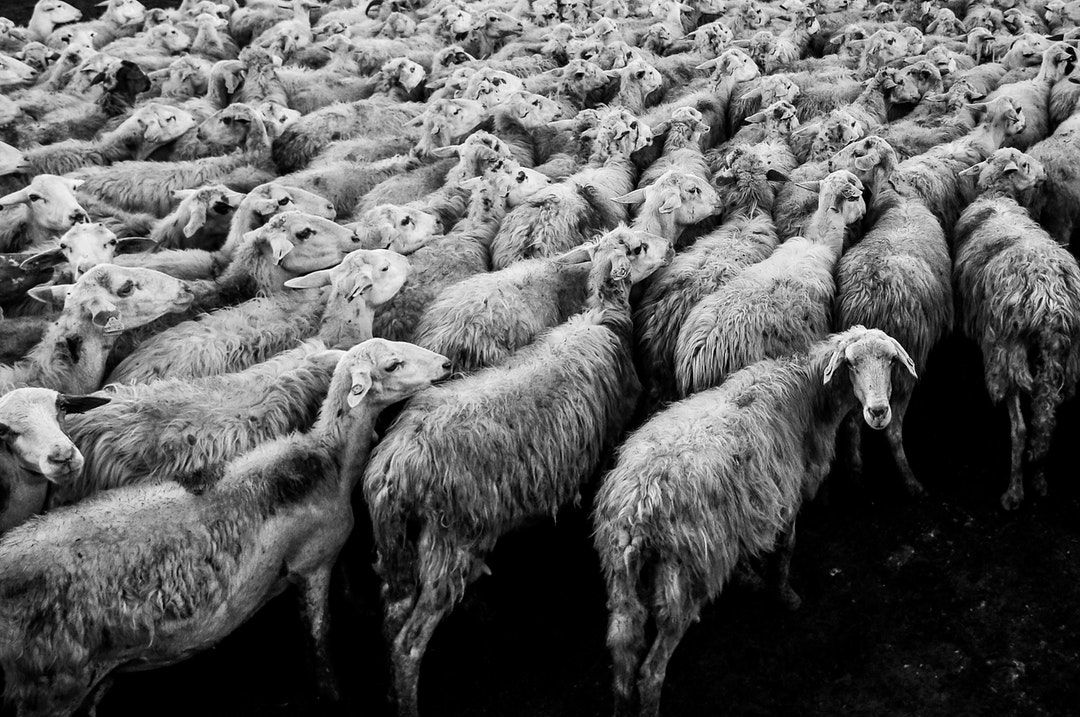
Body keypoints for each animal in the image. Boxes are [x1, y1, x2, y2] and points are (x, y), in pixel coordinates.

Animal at [364, 248, 642, 717]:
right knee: (408, 643)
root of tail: (392, 468)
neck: (602, 318)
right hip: (450, 538)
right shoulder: (611, 434)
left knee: (391, 612)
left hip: (401, 545)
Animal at [594, 326, 918, 717]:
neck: (807, 397)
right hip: (685, 573)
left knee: (623, 652)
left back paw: (620, 702)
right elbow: (786, 548)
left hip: (619, 569)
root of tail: (637, 506)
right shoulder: (786, 496)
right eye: (852, 363)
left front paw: (750, 577)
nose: (879, 412)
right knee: (651, 672)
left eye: (890, 360)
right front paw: (785, 595)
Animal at [829, 136, 952, 496]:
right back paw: (911, 482)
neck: (898, 195)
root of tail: (873, 301)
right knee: (892, 430)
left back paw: (858, 475)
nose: (830, 164)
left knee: (858, 423)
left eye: (857, 151)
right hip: (906, 365)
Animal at [954, 149, 1080, 510]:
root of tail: (1049, 301)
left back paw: (1013, 492)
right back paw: (1038, 480)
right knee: (1045, 419)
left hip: (1005, 352)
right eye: (1024, 164)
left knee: (1021, 428)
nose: (1045, 173)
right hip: (1067, 356)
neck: (996, 198)